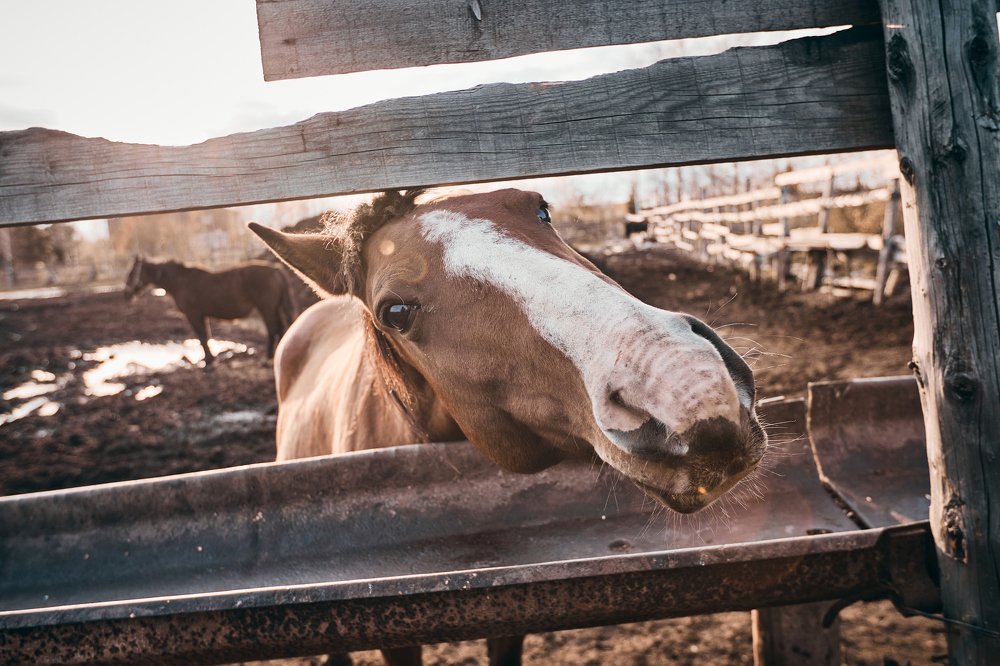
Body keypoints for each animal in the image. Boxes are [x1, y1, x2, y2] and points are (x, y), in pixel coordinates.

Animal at [123, 257, 297, 364]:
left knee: (273, 329)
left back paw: (267, 358)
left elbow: (202, 337)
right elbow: (206, 336)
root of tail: (276, 269)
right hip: (275, 308)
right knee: (281, 328)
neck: (182, 282)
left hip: (266, 308)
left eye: (131, 273)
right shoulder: (202, 316)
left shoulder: (193, 315)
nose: (126, 295)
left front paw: (209, 361)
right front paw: (210, 359)